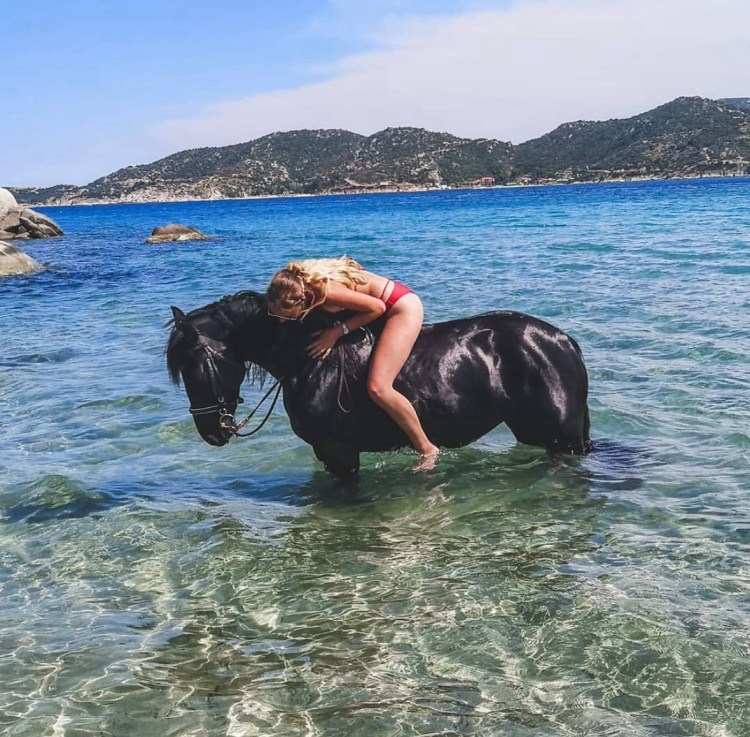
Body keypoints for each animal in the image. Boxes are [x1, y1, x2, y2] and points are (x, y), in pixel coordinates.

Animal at [166, 290, 592, 475]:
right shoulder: (326, 454)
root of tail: (563, 341)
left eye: (195, 365)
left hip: (563, 437)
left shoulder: (339, 452)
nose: (211, 432)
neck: (308, 359)